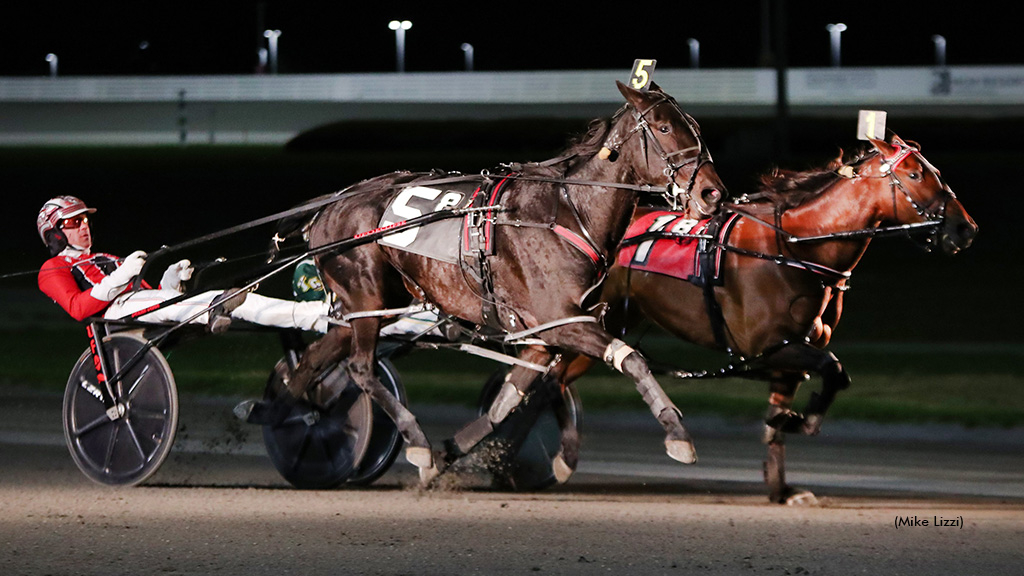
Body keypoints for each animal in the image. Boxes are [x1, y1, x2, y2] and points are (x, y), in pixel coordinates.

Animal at [264, 78, 729, 477]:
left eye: (696, 126)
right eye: (664, 127)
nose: (713, 193)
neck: (568, 212)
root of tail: (329, 206)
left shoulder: (544, 335)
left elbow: (507, 401)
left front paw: (455, 452)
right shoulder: (562, 320)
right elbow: (631, 358)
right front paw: (678, 434)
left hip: (370, 306)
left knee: (314, 360)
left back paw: (284, 413)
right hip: (366, 297)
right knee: (361, 368)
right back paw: (411, 438)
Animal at [561, 134, 974, 502]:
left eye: (934, 171)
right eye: (916, 175)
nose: (965, 228)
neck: (793, 248)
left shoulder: (791, 350)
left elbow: (805, 395)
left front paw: (782, 482)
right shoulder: (768, 346)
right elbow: (835, 368)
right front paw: (799, 421)